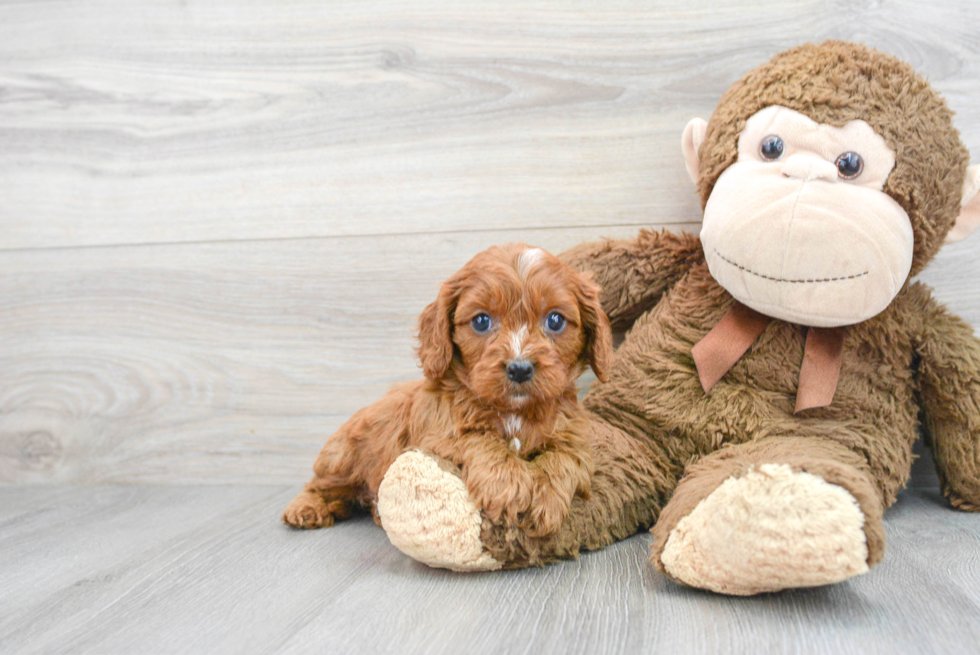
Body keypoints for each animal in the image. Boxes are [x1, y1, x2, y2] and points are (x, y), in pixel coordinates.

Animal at [280, 242, 608, 540]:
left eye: (555, 320)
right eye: (481, 321)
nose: (519, 368)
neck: (513, 411)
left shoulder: (573, 434)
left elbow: (564, 457)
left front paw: (546, 496)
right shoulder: (437, 434)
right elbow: (479, 438)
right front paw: (509, 486)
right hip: (342, 458)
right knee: (319, 485)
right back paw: (305, 509)